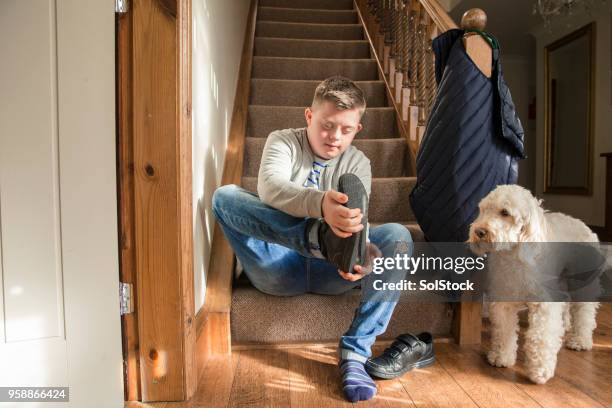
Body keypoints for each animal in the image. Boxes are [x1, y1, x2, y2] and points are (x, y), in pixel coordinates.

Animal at [468, 185, 596, 382]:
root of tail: (584, 225)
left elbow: (541, 337)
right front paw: (501, 357)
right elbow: (504, 330)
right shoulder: (504, 299)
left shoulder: (544, 305)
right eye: (482, 210)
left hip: (582, 285)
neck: (515, 256)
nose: (479, 231)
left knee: (584, 312)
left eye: (505, 212)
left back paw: (580, 340)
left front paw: (540, 370)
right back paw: (566, 324)